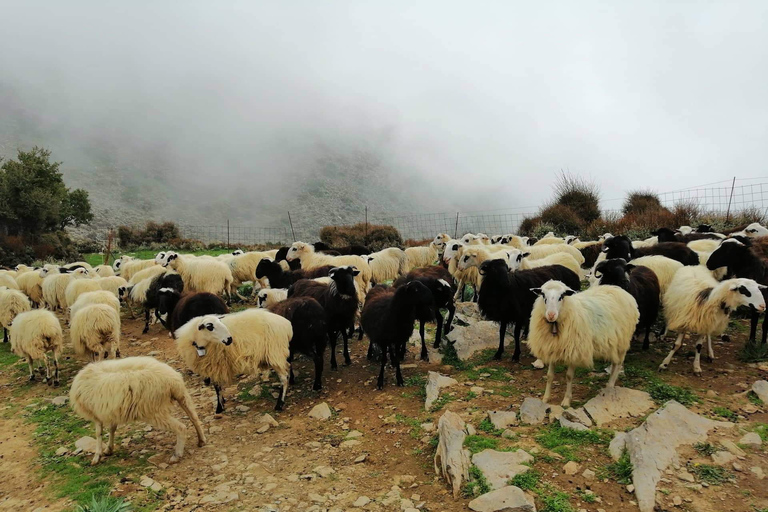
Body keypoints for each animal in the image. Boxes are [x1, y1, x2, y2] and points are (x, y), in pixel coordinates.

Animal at [68, 356, 206, 464]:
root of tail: (172, 381)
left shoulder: (95, 413)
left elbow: (98, 434)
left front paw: (97, 456)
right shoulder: (113, 410)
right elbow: (112, 429)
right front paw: (109, 449)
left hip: (153, 410)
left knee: (181, 427)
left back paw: (177, 455)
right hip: (182, 396)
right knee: (194, 418)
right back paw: (201, 440)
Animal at [524, 280, 640, 408]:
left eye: (562, 296)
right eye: (543, 295)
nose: (551, 315)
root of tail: (622, 291)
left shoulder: (574, 350)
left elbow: (569, 376)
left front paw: (566, 401)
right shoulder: (552, 348)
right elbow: (550, 376)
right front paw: (545, 399)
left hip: (623, 341)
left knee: (618, 364)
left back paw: (610, 385)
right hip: (614, 343)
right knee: (615, 363)